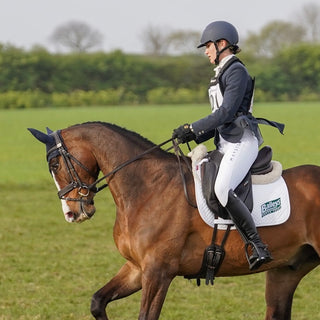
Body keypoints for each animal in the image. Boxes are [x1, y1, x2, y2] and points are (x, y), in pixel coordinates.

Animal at [28, 122, 320, 320]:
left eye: (55, 165)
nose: (71, 213)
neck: (147, 187)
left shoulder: (159, 272)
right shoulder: (137, 268)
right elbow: (97, 301)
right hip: (285, 271)